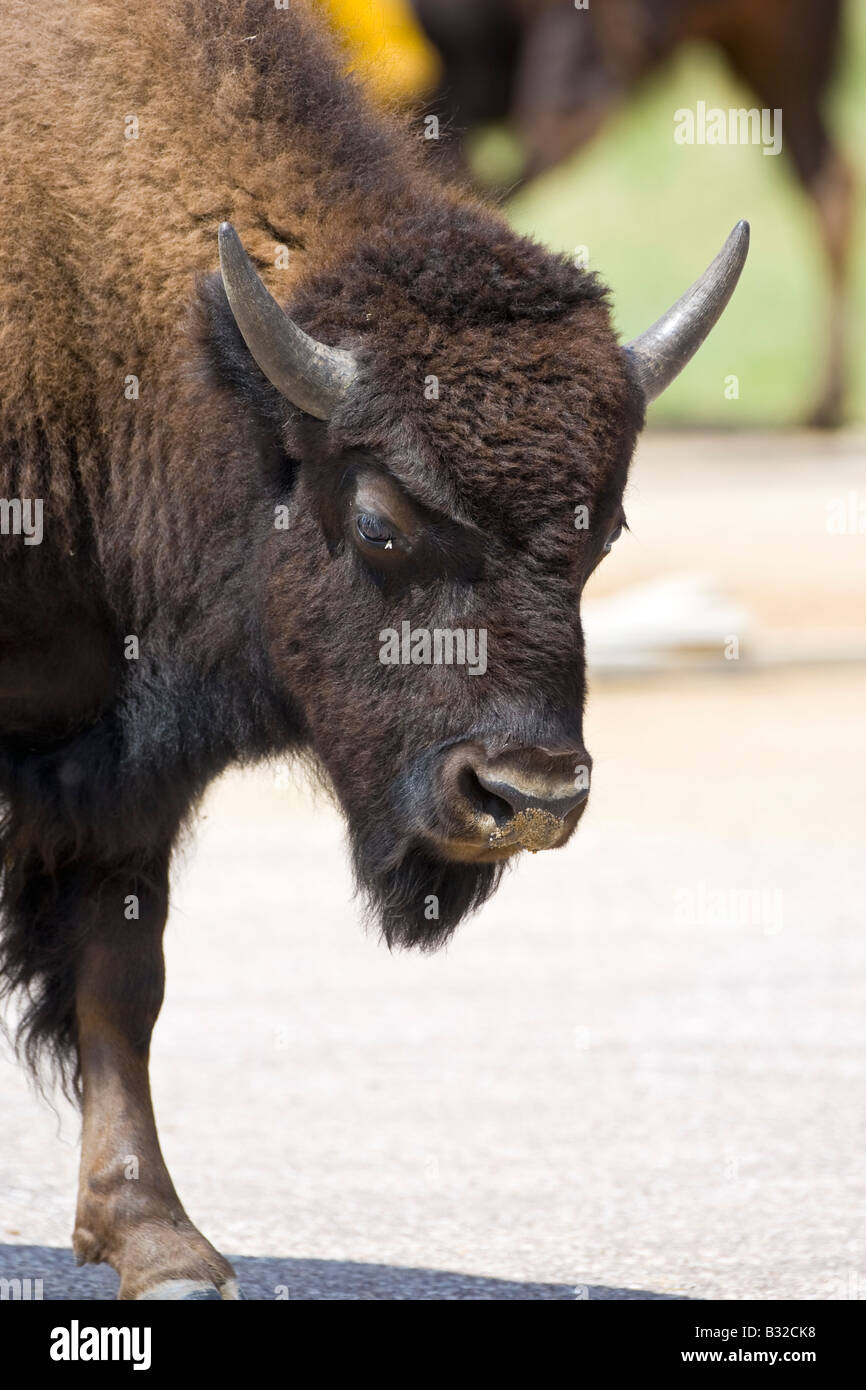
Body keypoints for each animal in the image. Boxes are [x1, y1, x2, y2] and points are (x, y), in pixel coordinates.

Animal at [0, 0, 745, 1301]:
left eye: (603, 526)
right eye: (381, 517)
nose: (526, 795)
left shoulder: (122, 777)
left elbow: (121, 979)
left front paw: (161, 1245)